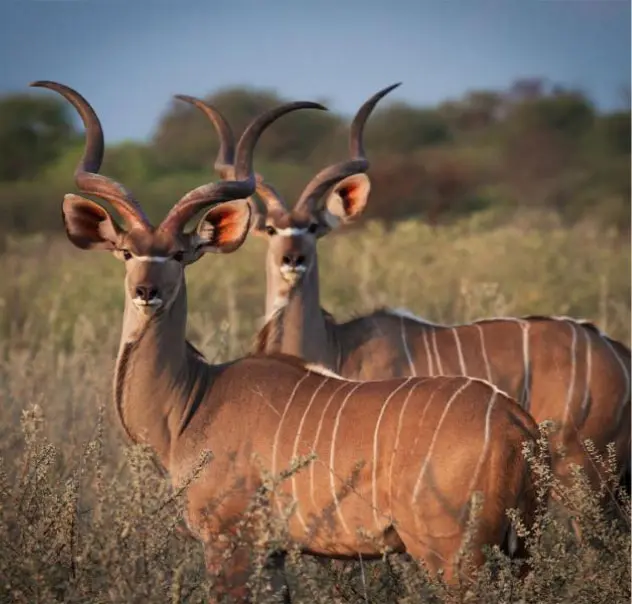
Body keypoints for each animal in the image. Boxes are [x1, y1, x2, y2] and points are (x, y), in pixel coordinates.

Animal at [33, 79, 541, 602]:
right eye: (126, 252)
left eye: (178, 254)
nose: (146, 291)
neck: (193, 399)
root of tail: (516, 422)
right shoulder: (272, 554)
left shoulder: (230, 543)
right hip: (517, 553)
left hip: (453, 557)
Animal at [180, 84, 631, 508]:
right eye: (272, 228)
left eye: (314, 227)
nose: (294, 259)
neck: (335, 344)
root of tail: (616, 352)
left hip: (579, 469)